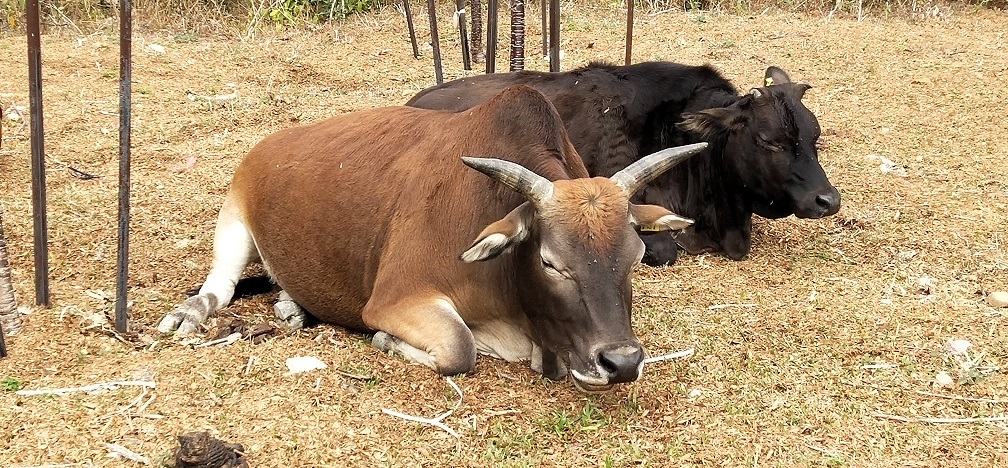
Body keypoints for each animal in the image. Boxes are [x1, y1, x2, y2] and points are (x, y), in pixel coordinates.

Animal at [159, 85, 709, 391]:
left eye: (635, 257)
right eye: (551, 262)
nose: (622, 363)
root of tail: (267, 146)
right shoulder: (396, 298)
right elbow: (460, 350)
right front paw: (387, 340)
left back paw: (294, 307)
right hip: (233, 221)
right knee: (219, 287)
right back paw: (191, 313)